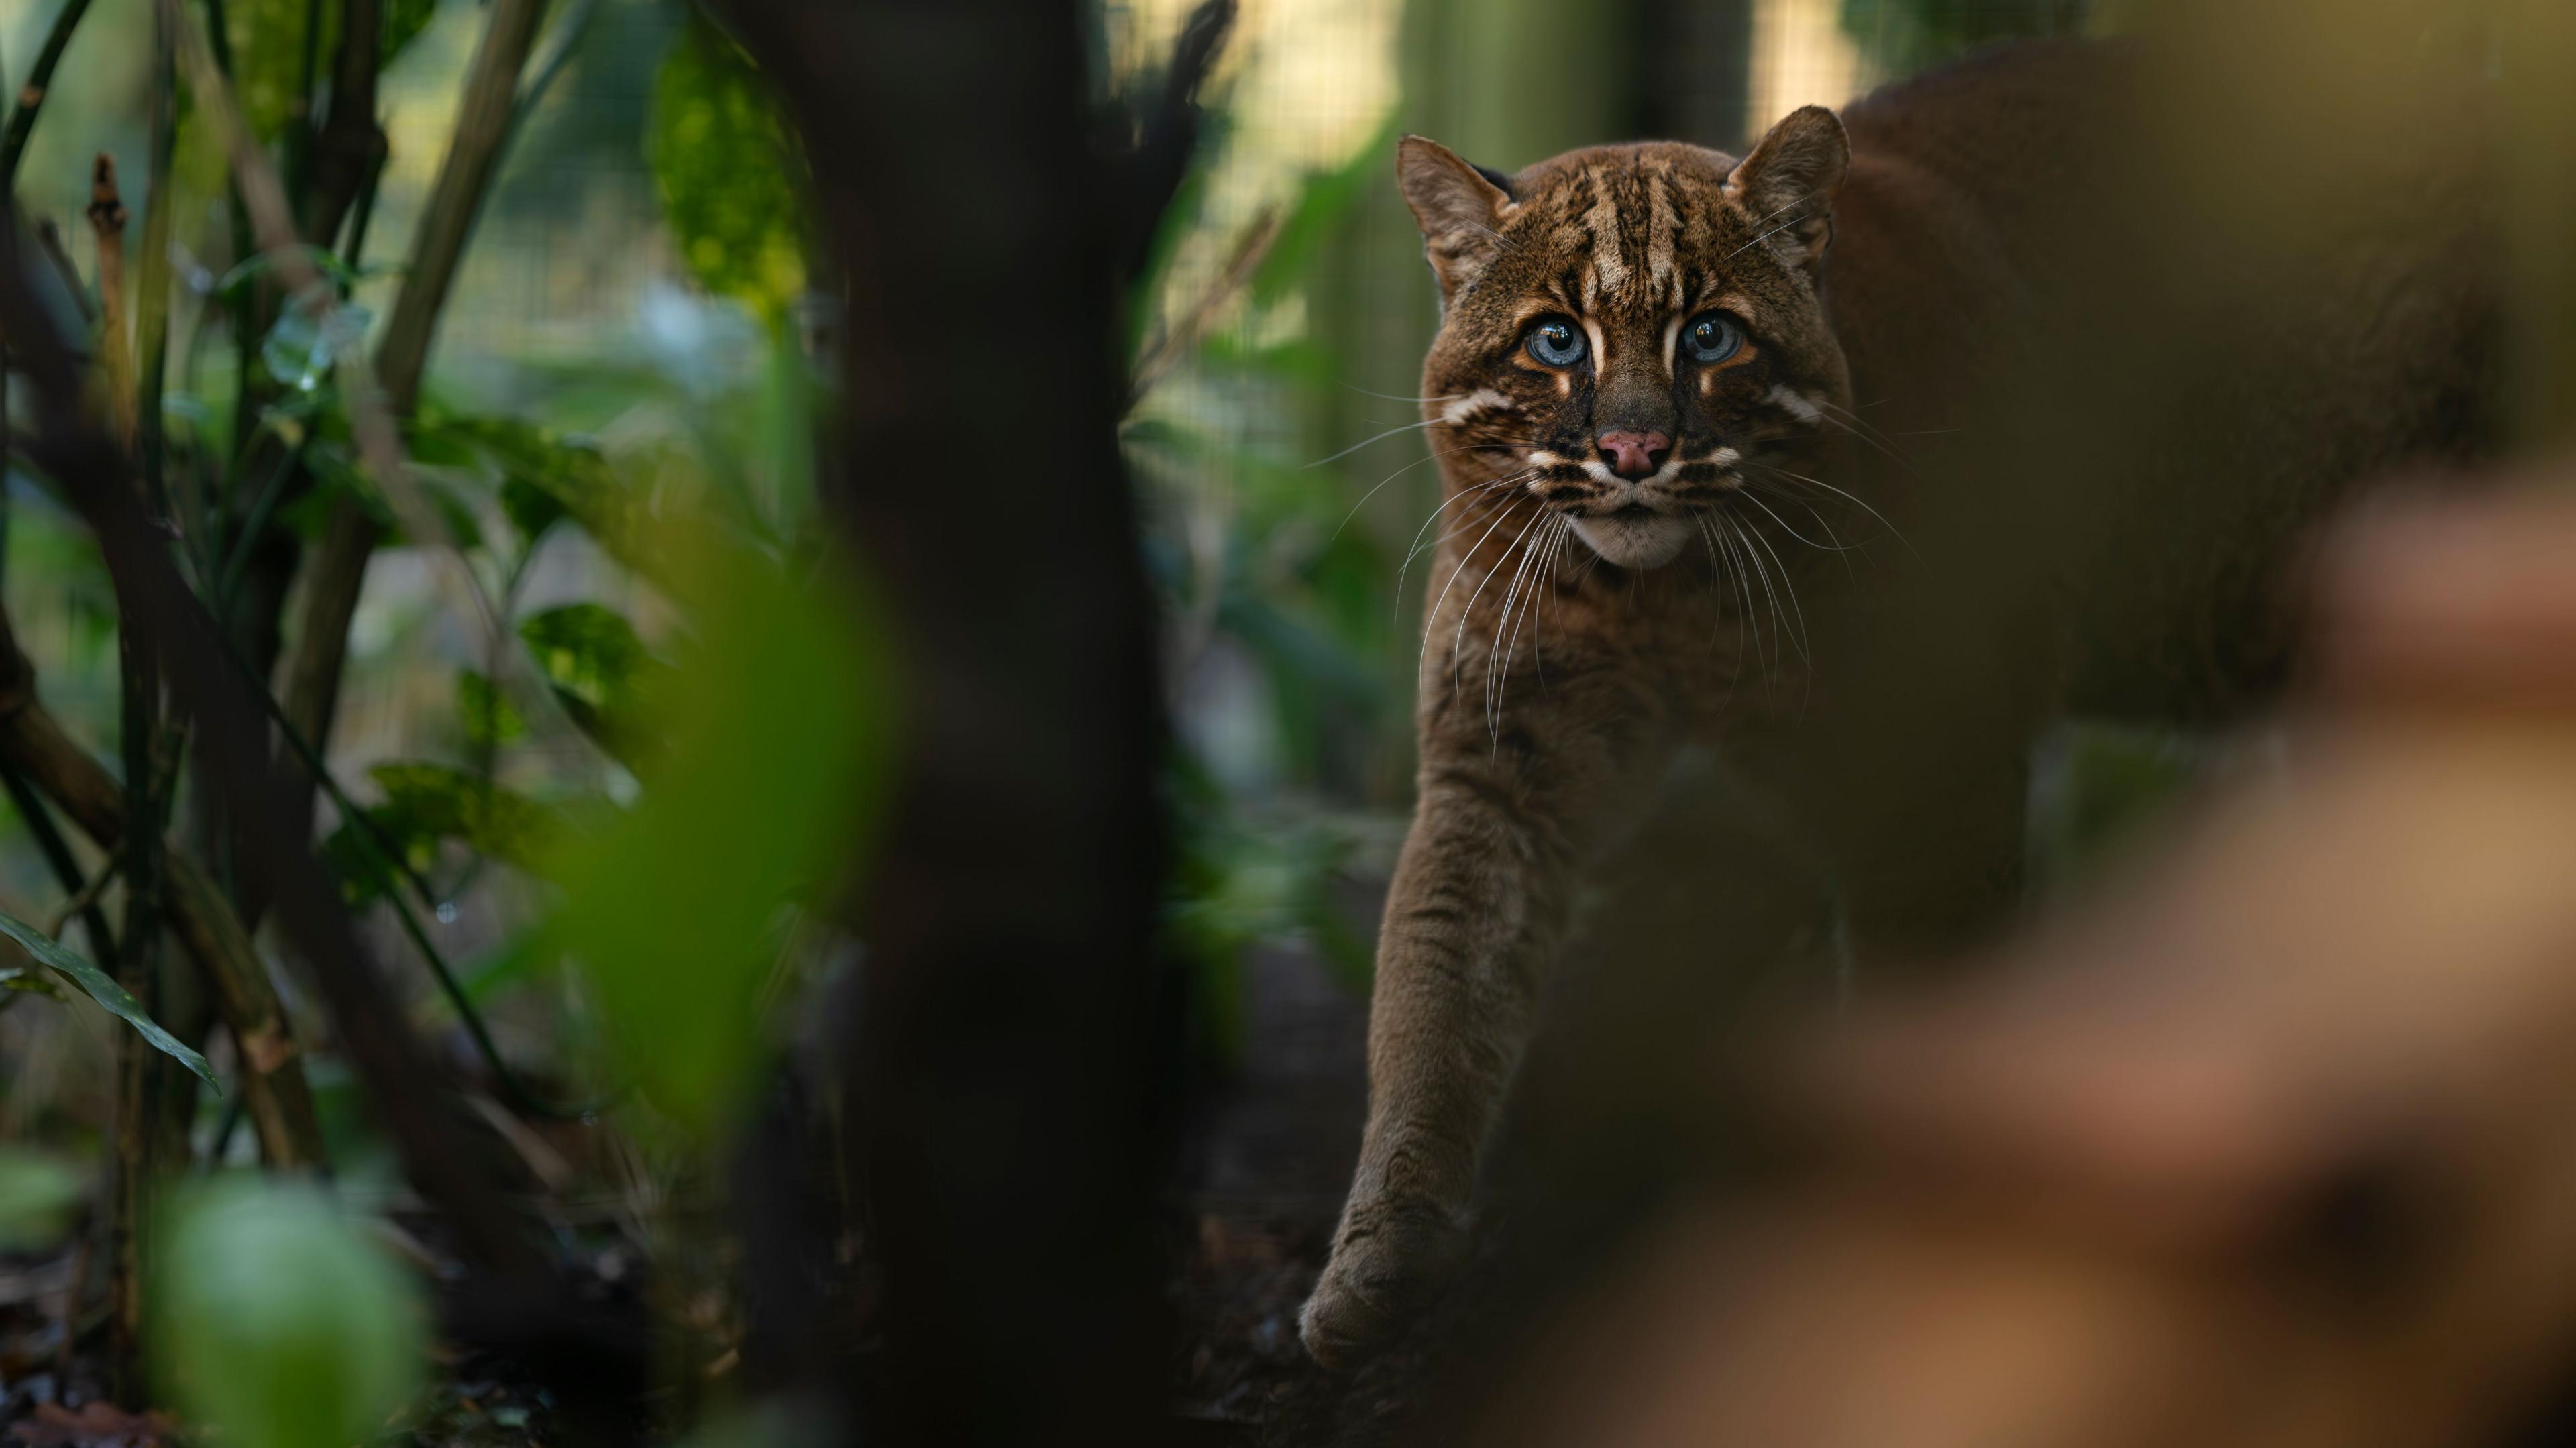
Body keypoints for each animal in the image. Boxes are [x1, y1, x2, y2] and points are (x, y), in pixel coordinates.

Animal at [1308, 36, 2493, 1360]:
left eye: (1709, 336)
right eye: (1556, 342)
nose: (1632, 452)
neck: (1668, 605)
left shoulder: (1941, 764)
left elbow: (1916, 1007)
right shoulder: (1499, 760)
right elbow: (1433, 985)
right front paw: (1383, 1251)